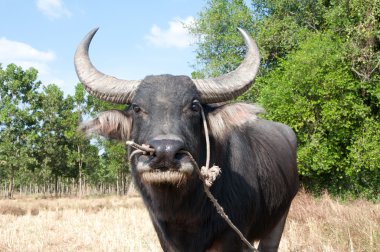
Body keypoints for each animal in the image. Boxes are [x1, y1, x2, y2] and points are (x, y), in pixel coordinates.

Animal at [75, 28, 300, 252]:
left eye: (193, 106)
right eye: (137, 108)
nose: (165, 153)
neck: (185, 214)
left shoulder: (233, 236)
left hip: (279, 218)